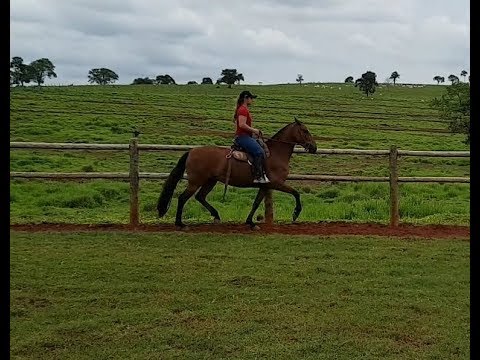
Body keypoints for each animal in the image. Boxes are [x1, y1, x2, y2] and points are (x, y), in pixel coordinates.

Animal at [156, 119, 316, 229]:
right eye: (305, 130)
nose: (314, 147)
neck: (275, 153)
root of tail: (191, 151)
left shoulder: (264, 186)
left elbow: (256, 203)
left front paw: (250, 222)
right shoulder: (276, 183)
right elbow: (296, 193)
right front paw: (295, 213)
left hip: (210, 181)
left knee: (200, 197)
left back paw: (216, 215)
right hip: (196, 181)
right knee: (183, 198)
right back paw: (180, 223)